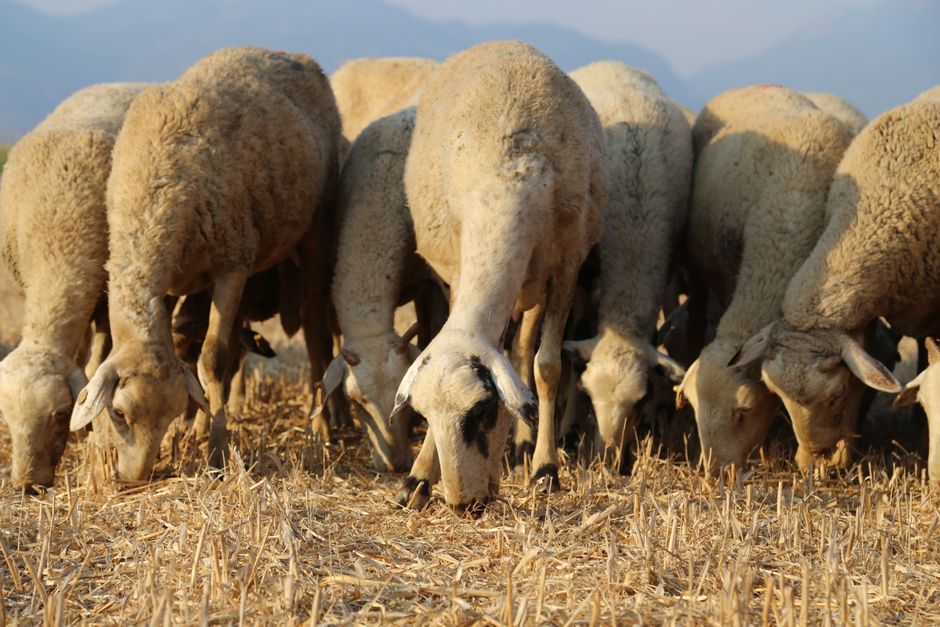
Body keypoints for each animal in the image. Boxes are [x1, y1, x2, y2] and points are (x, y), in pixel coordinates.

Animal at [69, 46, 342, 482]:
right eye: (118, 413)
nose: (135, 478)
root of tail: (294, 56)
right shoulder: (165, 288)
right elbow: (190, 356)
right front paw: (193, 434)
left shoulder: (233, 264)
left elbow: (213, 357)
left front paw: (216, 449)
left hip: (318, 223)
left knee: (316, 333)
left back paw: (322, 428)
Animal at [389, 40, 608, 511]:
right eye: (424, 417)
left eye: (482, 412)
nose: (463, 505)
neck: (506, 182)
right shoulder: (457, 273)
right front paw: (418, 477)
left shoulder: (566, 269)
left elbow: (547, 367)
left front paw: (545, 470)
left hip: (537, 282)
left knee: (525, 353)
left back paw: (527, 446)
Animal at [560, 61, 690, 468]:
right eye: (588, 393)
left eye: (638, 399)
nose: (608, 461)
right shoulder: (583, 274)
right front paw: (569, 429)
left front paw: (653, 420)